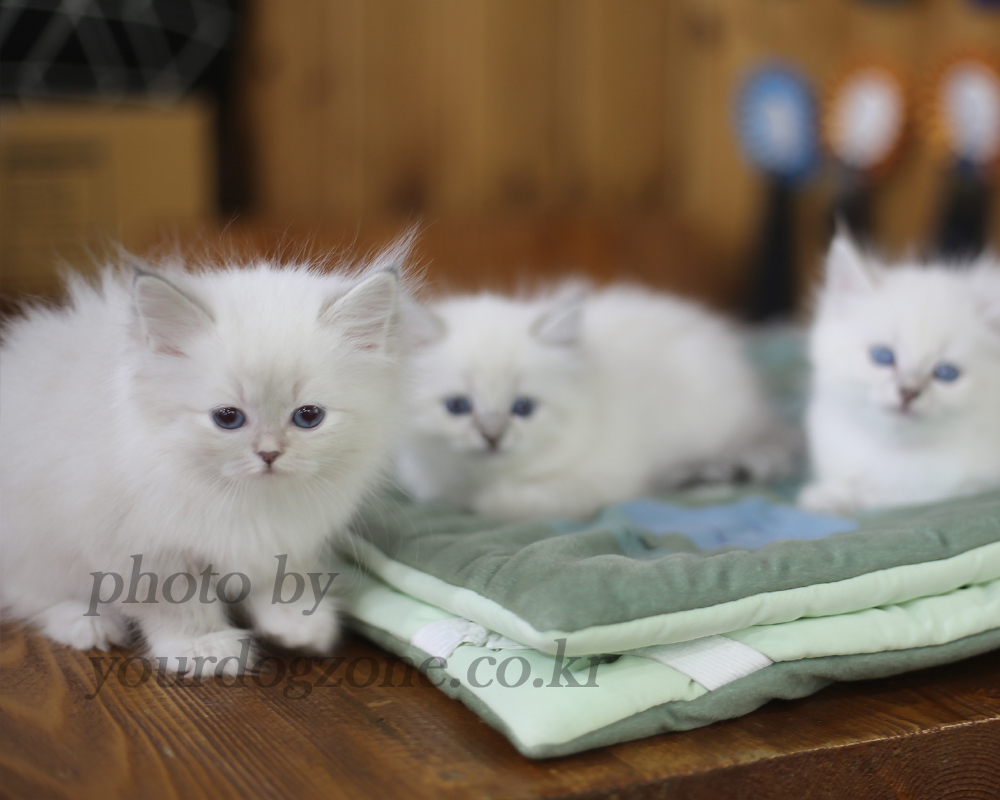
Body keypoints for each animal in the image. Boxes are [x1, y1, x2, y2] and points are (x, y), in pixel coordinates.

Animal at [0, 239, 412, 675]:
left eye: (309, 417)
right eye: (227, 418)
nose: (269, 453)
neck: (253, 504)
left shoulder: (286, 539)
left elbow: (281, 581)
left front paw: (297, 624)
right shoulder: (144, 549)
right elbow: (179, 604)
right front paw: (206, 649)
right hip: (36, 544)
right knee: (29, 595)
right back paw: (87, 625)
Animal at [396, 283, 790, 521]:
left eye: (523, 408)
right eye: (457, 407)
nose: (492, 437)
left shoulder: (603, 481)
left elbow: (506, 500)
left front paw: (481, 502)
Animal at [799, 234, 1000, 513]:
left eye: (946, 373)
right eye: (883, 356)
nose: (908, 392)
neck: (898, 454)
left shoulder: (961, 487)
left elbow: (883, 496)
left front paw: (831, 497)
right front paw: (828, 495)